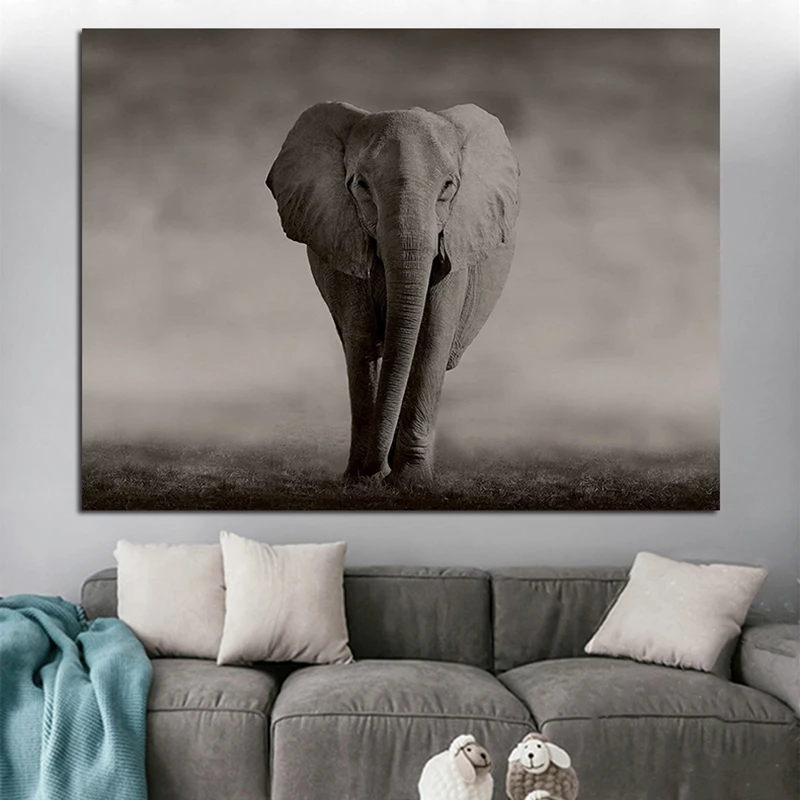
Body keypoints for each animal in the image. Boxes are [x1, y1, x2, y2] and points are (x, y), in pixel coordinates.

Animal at [266, 101, 520, 485]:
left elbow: (431, 338)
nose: (377, 472)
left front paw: (410, 483)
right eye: (361, 185)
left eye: (448, 186)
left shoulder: (454, 244)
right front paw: (361, 479)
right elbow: (361, 338)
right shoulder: (342, 238)